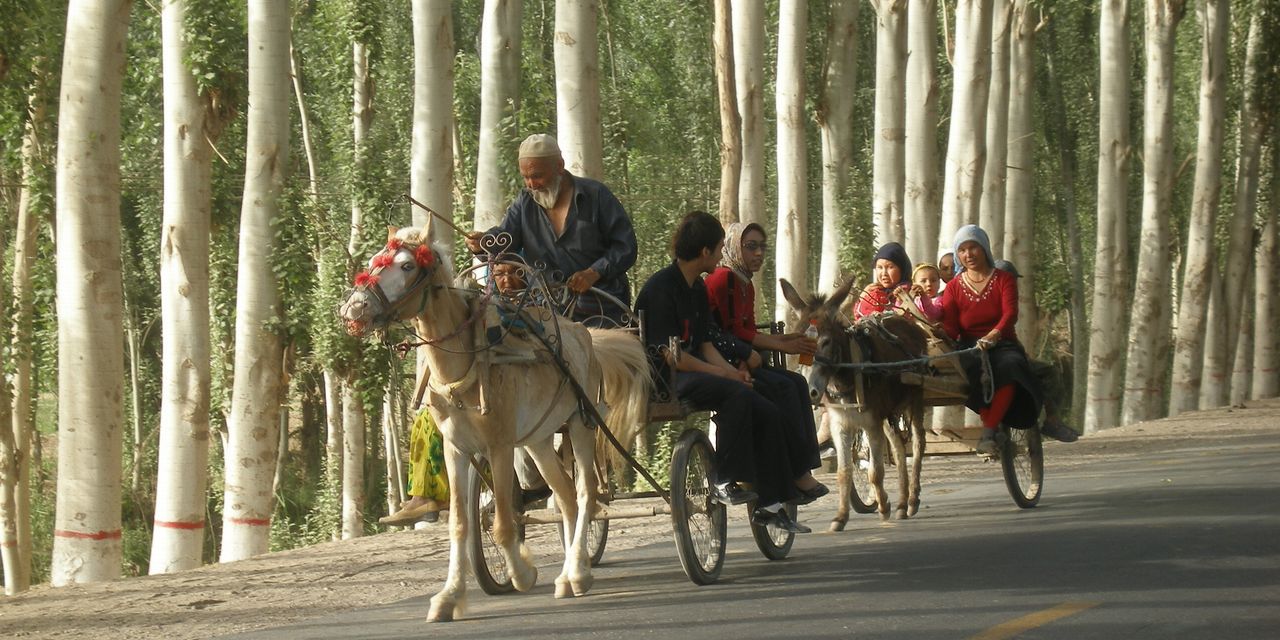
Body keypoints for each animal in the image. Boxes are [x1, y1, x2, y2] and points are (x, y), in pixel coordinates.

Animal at [340, 227, 650, 622]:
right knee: (566, 498)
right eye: (372, 261)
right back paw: (570, 572)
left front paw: (522, 573)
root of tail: (584, 331)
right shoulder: (457, 450)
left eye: (407, 265)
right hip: (538, 439)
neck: (467, 363)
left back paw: (578, 572)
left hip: (581, 425)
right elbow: (460, 524)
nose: (355, 308)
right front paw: (449, 596)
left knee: (585, 493)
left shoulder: (500, 447)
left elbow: (503, 523)